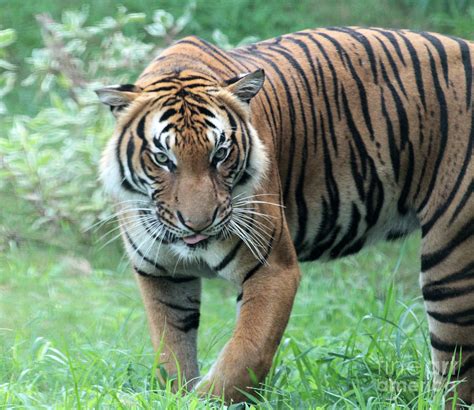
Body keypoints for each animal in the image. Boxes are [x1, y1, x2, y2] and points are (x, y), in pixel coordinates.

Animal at [97, 27, 474, 406]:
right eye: (163, 158)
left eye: (220, 154)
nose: (198, 224)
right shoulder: (162, 276)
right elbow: (171, 351)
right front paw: (173, 395)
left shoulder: (273, 269)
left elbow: (245, 354)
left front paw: (203, 401)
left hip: (451, 260)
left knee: (456, 369)